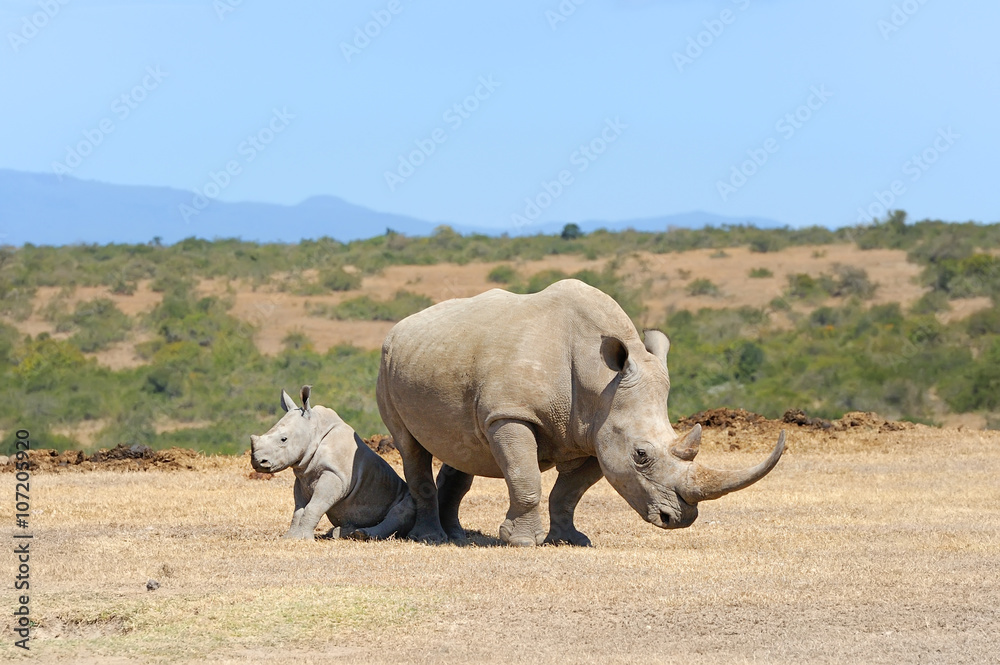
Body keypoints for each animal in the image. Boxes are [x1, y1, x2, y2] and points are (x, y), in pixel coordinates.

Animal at [250, 386, 415, 541]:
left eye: (284, 439)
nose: (258, 462)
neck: (315, 431)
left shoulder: (335, 475)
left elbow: (314, 506)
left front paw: (304, 539)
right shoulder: (303, 478)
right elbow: (298, 510)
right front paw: (290, 538)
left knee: (403, 510)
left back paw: (362, 535)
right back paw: (339, 533)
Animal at [377, 279, 785, 546]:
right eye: (641, 455)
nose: (679, 520)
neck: (599, 379)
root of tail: (400, 325)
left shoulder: (596, 433)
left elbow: (568, 493)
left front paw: (570, 540)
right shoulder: (512, 414)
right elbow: (526, 479)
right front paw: (520, 542)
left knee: (462, 445)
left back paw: (457, 536)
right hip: (387, 361)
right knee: (411, 445)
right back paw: (431, 538)